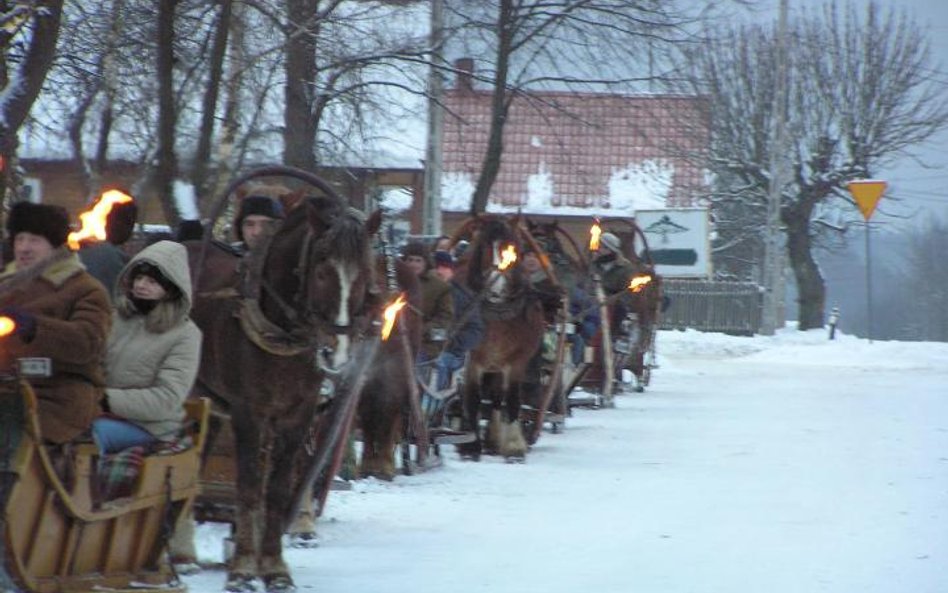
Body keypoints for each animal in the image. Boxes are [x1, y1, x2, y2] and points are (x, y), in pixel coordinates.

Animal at [185, 168, 378, 592]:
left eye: (364, 276)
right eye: (320, 271)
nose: (336, 352)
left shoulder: (297, 416)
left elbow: (276, 490)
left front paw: (273, 567)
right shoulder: (248, 413)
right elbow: (249, 488)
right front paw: (243, 568)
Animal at [456, 215, 544, 460]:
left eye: (513, 246)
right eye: (486, 245)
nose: (496, 287)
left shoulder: (517, 361)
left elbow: (512, 400)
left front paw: (514, 446)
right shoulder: (472, 360)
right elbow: (473, 399)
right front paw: (471, 445)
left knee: (496, 398)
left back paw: (495, 439)